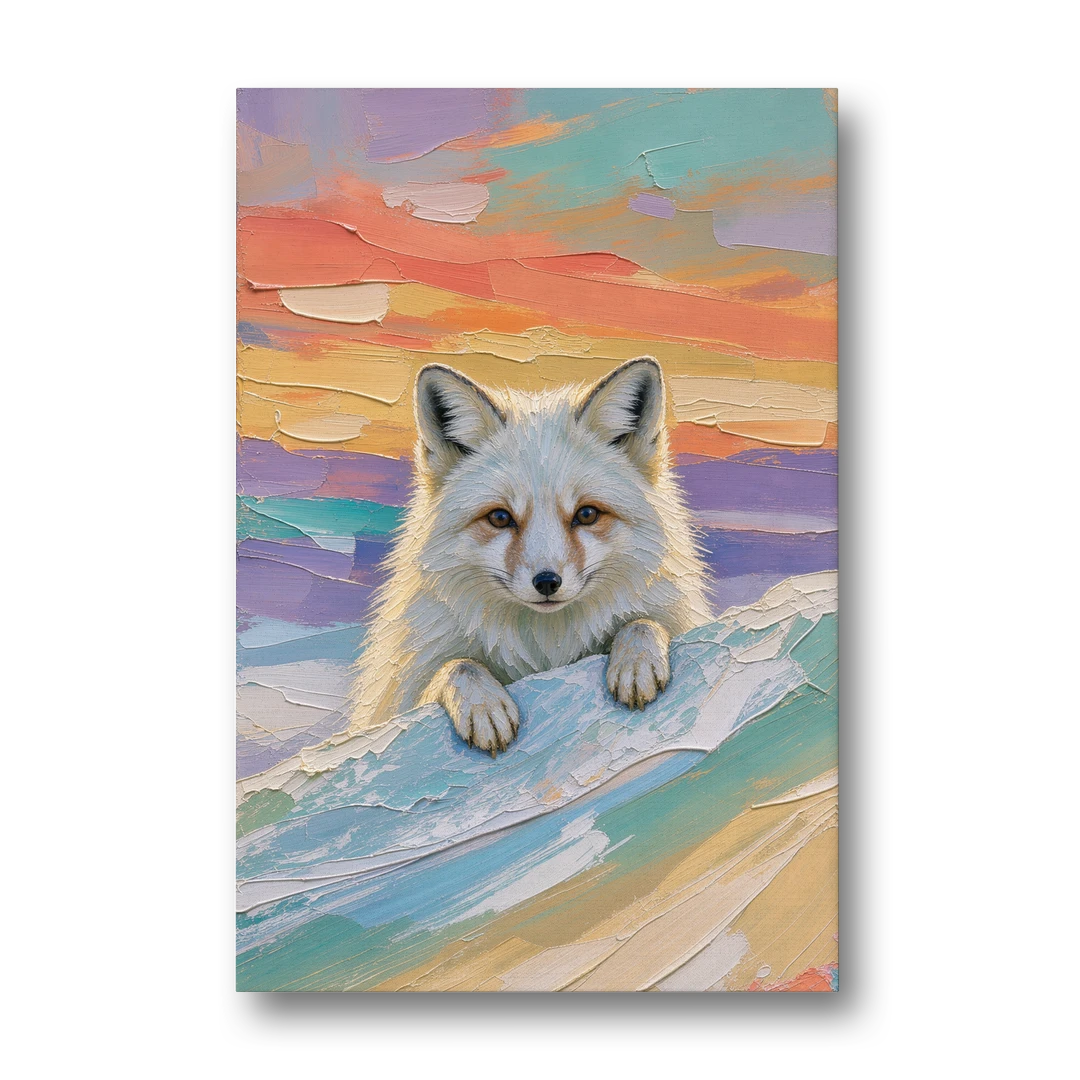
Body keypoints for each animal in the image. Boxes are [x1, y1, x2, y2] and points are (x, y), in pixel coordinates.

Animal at [347, 355, 713, 755]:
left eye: (587, 514)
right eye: (500, 518)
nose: (547, 582)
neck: (546, 651)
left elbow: (643, 622)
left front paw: (636, 660)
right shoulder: (399, 697)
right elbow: (460, 665)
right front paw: (483, 706)